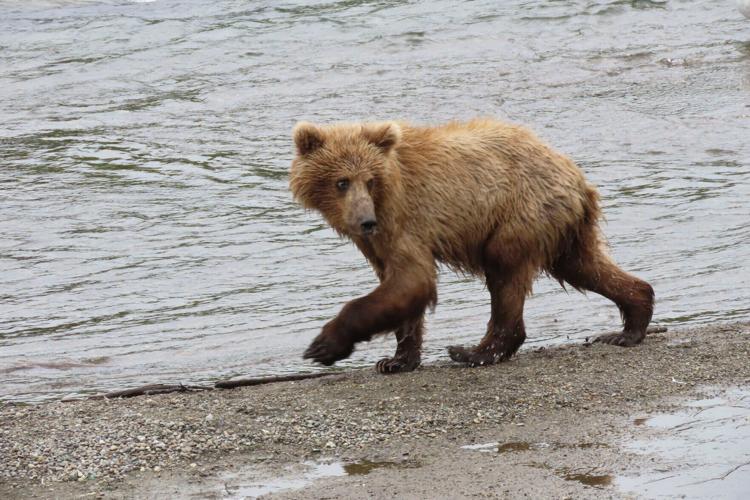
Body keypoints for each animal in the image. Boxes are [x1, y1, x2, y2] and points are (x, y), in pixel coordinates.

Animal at [289, 118, 654, 373]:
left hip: (519, 214)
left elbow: (412, 280)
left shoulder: (403, 218)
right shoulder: (379, 240)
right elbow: (399, 287)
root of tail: (577, 176)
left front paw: (324, 345)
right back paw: (629, 324)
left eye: (369, 180)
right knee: (584, 266)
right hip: (562, 227)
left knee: (505, 272)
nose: (366, 221)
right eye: (341, 182)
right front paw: (396, 361)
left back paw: (474, 352)